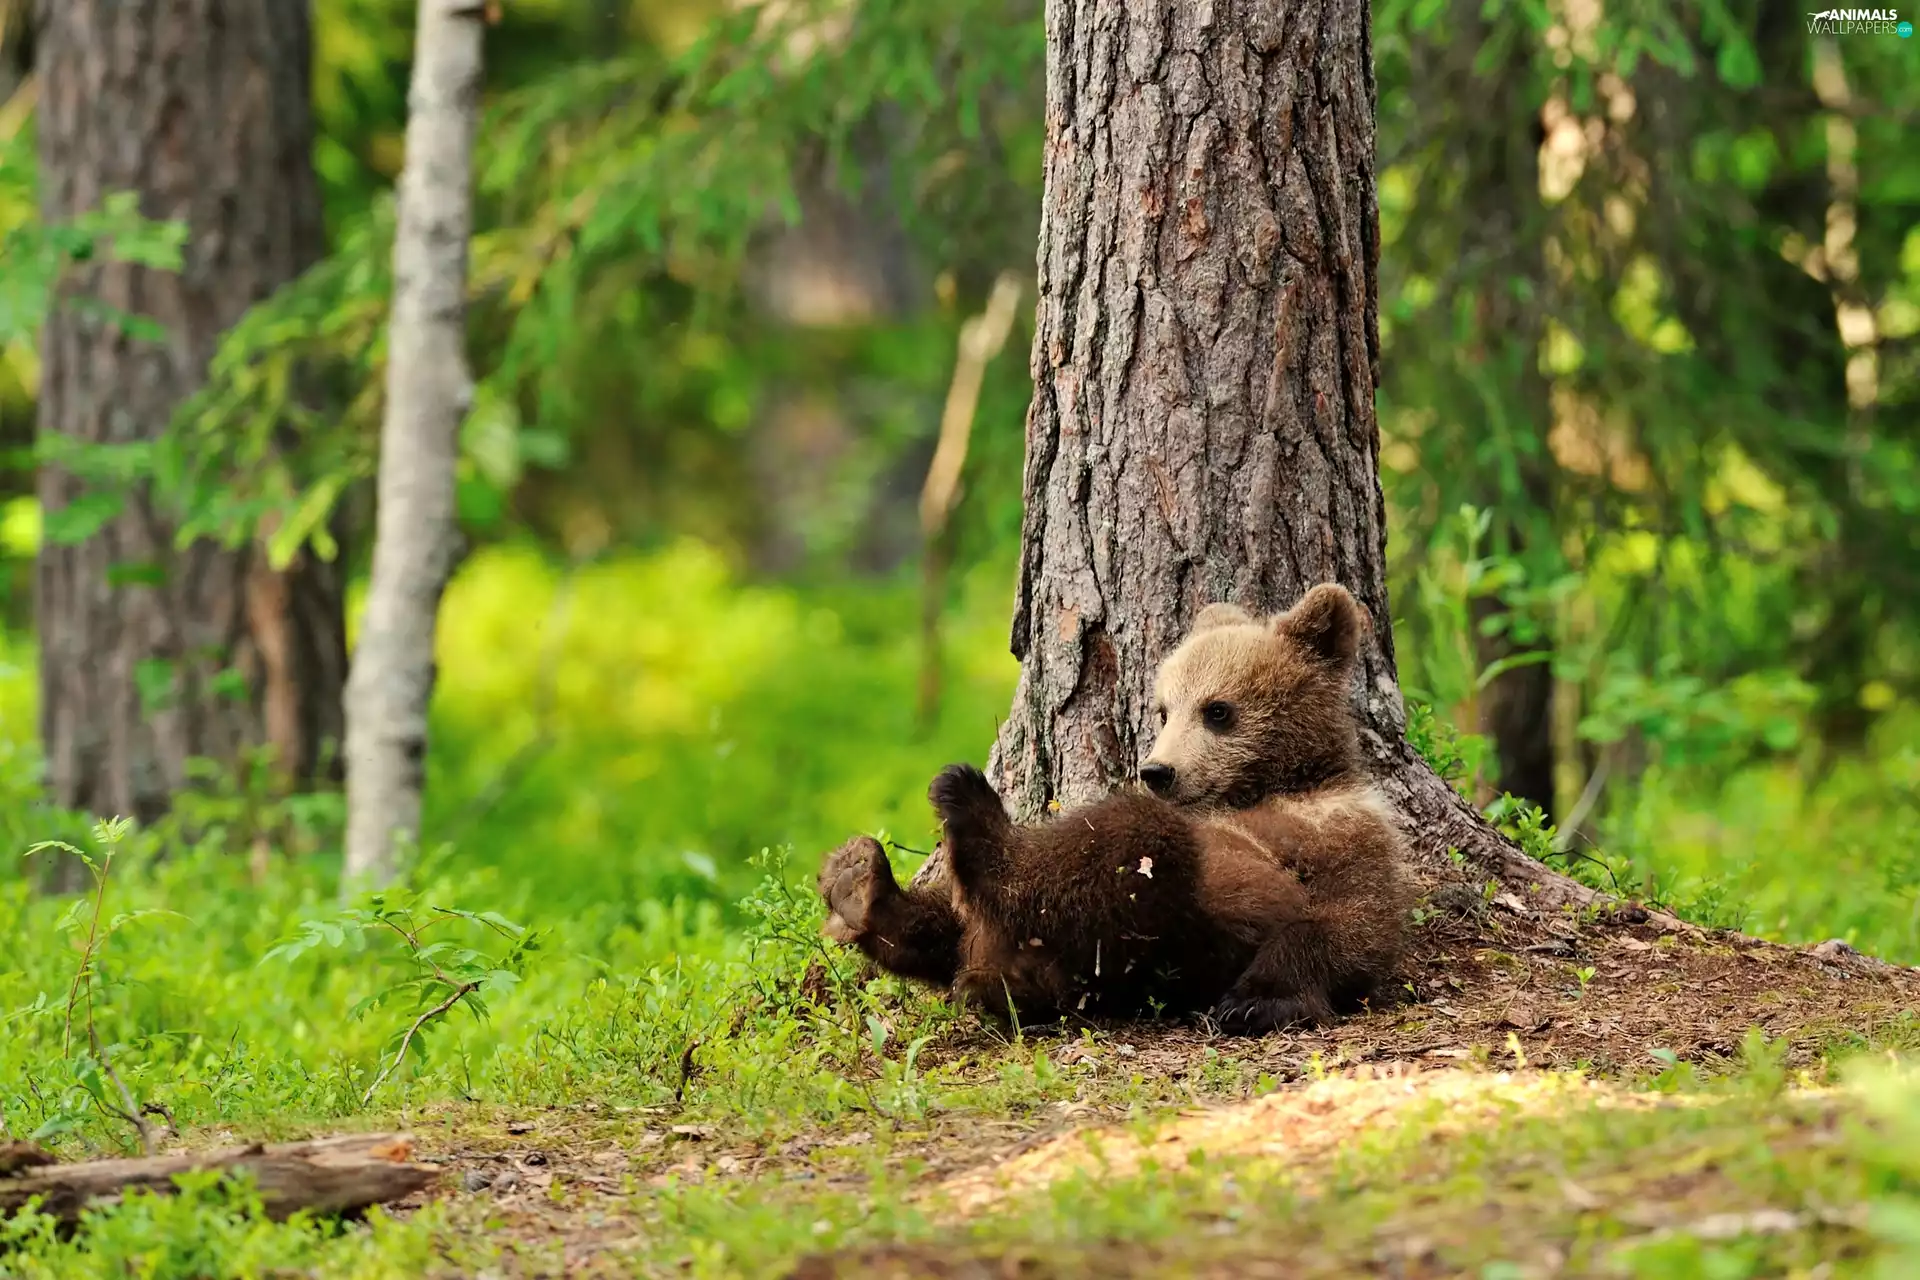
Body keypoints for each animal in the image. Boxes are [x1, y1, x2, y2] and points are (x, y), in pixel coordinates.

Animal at [817, 583, 1415, 1035]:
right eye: (1164, 709)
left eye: (1218, 710)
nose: (1157, 771)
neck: (1272, 784)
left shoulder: (1340, 830)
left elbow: (1353, 925)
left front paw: (1254, 1001)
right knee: (966, 918)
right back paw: (862, 886)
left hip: (1175, 938)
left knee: (1128, 839)